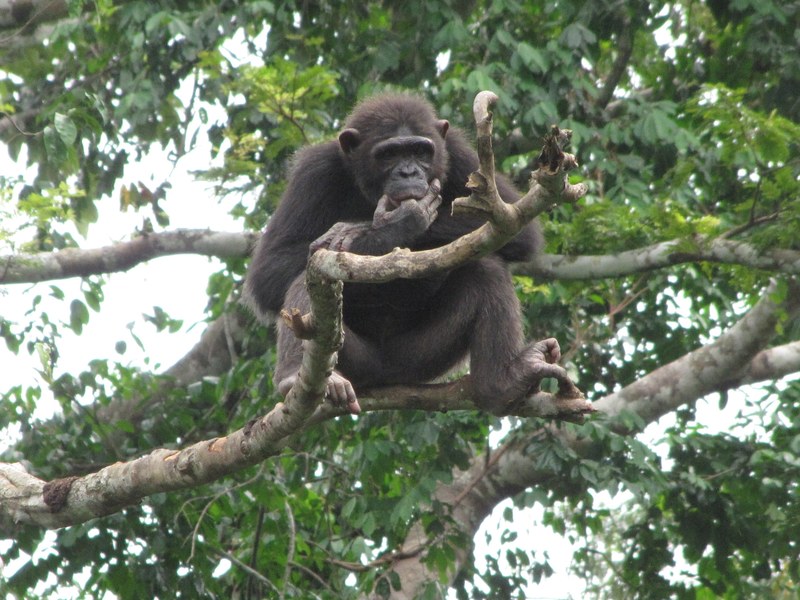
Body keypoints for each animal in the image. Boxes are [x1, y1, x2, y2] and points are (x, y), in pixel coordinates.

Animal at [245, 93, 568, 415]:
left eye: (419, 151)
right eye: (389, 154)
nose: (408, 172)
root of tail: (385, 376)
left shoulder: (459, 153)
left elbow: (517, 229)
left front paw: (362, 228)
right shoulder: (313, 171)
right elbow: (271, 268)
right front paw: (393, 226)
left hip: (421, 359)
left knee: (486, 268)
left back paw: (504, 381)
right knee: (307, 278)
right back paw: (293, 376)